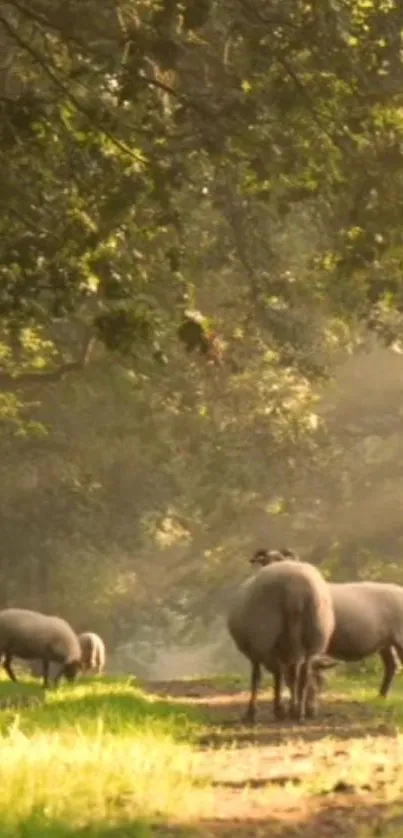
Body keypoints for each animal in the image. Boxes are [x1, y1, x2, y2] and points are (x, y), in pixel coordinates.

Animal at [229, 556, 336, 720]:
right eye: (321, 681)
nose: (313, 710)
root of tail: (295, 590)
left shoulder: (258, 652)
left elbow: (263, 676)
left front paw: (265, 710)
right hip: (314, 636)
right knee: (301, 673)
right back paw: (299, 711)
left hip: (264, 635)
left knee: (287, 673)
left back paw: (291, 710)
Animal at [251, 548, 403, 700]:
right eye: (264, 561)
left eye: (281, 559)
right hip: (386, 642)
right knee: (392, 666)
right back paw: (381, 696)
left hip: (398, 638)